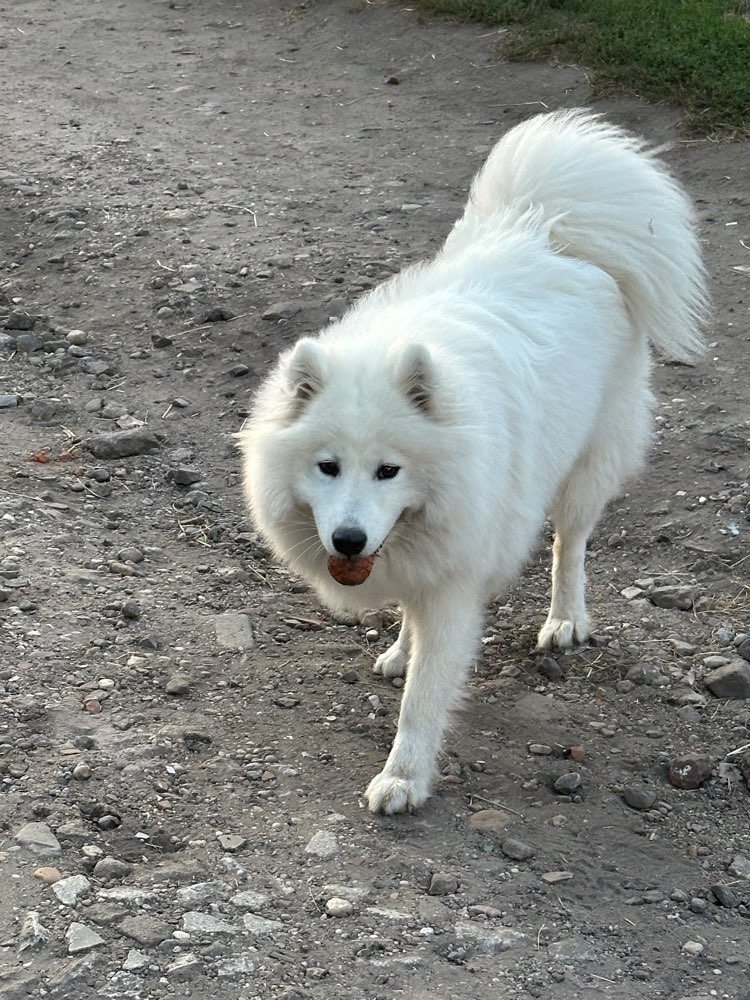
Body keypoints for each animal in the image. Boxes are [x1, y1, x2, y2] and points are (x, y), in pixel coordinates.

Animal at [241, 111, 712, 812]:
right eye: (327, 467)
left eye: (389, 471)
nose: (348, 540)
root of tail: (548, 224)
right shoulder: (423, 559)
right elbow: (412, 623)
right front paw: (402, 651)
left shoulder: (453, 580)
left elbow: (424, 698)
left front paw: (404, 778)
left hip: (586, 467)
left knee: (570, 545)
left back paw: (565, 620)